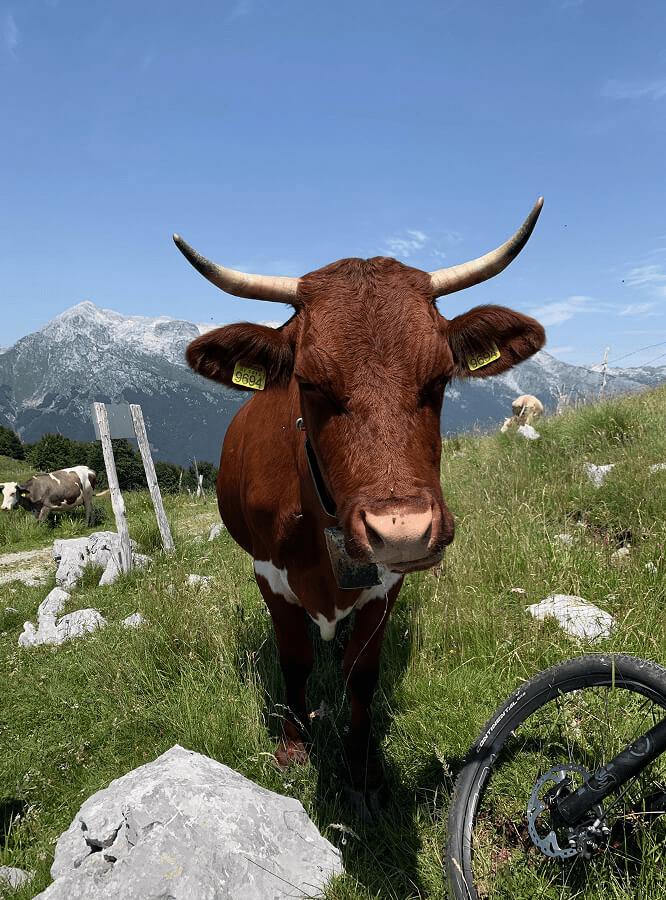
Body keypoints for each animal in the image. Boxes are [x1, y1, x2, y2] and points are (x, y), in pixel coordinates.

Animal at [175, 198, 546, 800]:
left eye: (440, 377)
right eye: (308, 382)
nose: (402, 530)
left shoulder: (386, 582)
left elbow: (362, 671)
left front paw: (364, 763)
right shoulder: (268, 572)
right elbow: (295, 660)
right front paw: (294, 747)